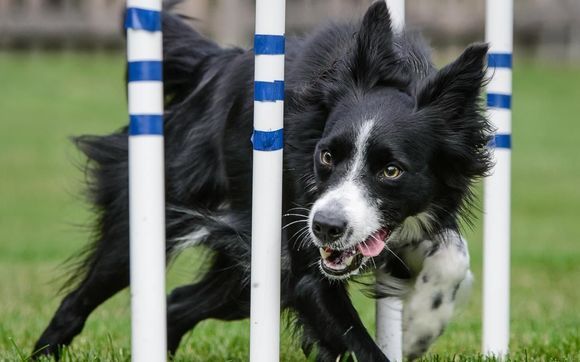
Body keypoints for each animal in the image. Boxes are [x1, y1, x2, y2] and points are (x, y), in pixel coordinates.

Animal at [34, 2, 492, 360]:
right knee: (80, 297)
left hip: (244, 272)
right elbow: (349, 333)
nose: (326, 227)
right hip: (152, 219)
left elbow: (452, 257)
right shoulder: (306, 264)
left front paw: (420, 325)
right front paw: (412, 333)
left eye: (391, 170)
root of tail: (216, 64)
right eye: (326, 156)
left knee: (179, 302)